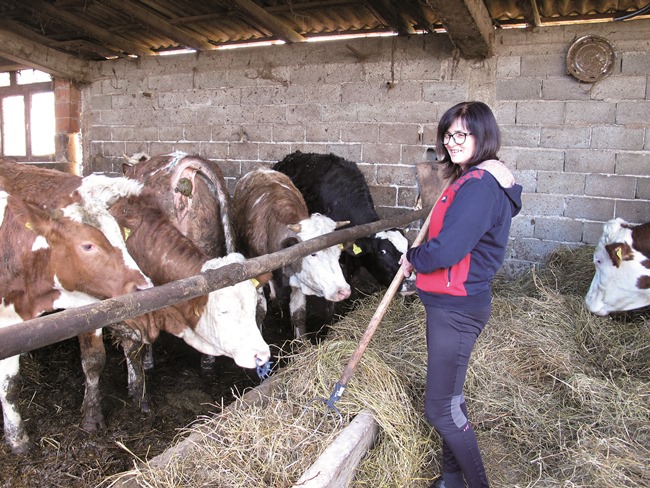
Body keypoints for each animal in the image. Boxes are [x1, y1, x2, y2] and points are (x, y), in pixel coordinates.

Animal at [0, 190, 151, 454]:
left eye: (123, 238)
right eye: (88, 245)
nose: (145, 287)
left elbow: (93, 361)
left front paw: (92, 418)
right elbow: (7, 385)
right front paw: (18, 440)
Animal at [233, 166, 352, 338]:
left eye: (338, 253)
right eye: (313, 253)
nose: (343, 291)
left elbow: (298, 314)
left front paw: (302, 342)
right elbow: (259, 311)